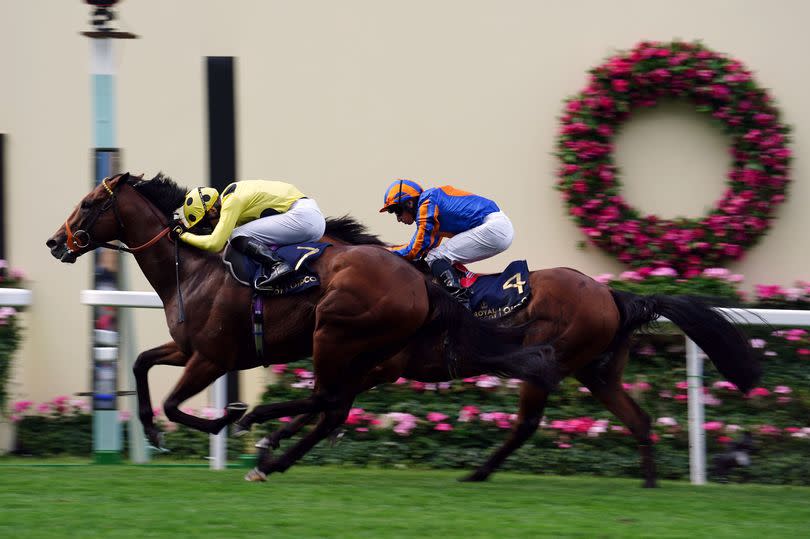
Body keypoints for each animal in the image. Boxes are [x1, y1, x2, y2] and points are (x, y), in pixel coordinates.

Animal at [47, 173, 560, 480]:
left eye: (89, 204)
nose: (55, 242)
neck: (192, 268)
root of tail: (420, 278)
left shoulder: (212, 357)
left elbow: (175, 404)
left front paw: (227, 418)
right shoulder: (189, 348)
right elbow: (139, 364)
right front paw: (153, 431)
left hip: (333, 333)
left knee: (326, 399)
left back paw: (260, 429)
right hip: (368, 352)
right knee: (332, 405)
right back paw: (271, 450)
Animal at [243, 224, 760, 490]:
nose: (268, 275)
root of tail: (612, 295)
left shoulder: (379, 366)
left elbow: (328, 403)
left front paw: (264, 440)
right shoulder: (372, 368)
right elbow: (327, 404)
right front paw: (271, 449)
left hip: (550, 362)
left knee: (527, 424)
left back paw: (478, 471)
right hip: (598, 373)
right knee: (638, 419)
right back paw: (649, 483)